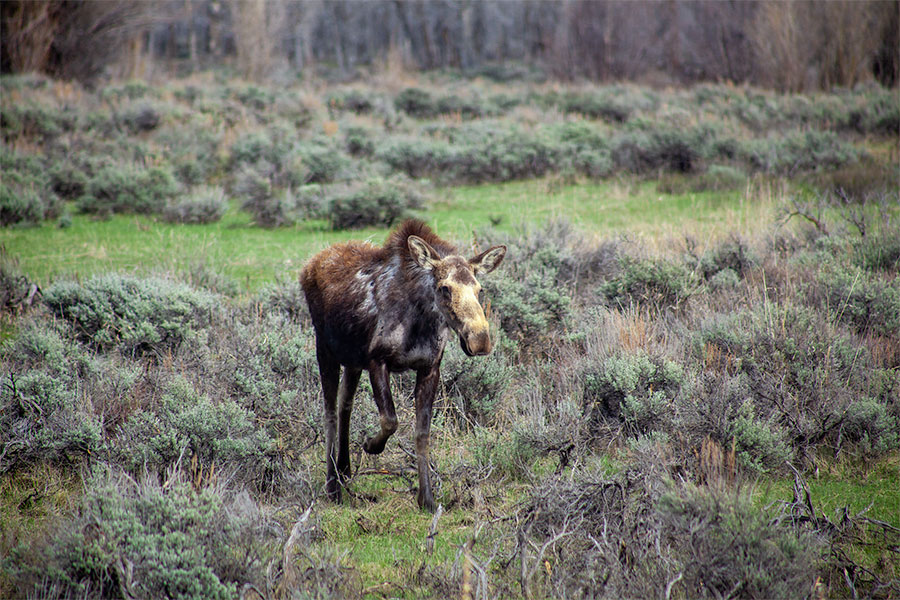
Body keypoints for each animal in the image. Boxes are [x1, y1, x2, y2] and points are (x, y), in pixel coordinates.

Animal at [298, 220, 502, 510]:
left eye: (479, 289)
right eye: (445, 288)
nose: (480, 340)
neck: (420, 322)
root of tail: (309, 266)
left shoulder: (429, 368)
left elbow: (422, 432)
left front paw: (426, 498)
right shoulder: (377, 360)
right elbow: (390, 420)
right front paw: (371, 445)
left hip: (352, 361)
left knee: (344, 404)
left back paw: (344, 470)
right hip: (325, 349)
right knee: (329, 412)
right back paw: (332, 486)